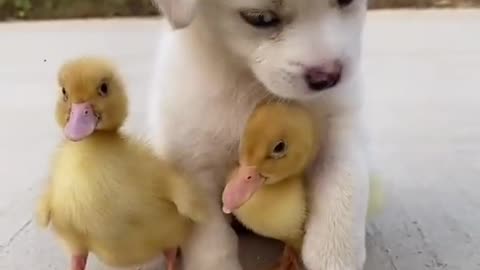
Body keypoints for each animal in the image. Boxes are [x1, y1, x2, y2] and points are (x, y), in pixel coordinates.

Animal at [150, 0, 372, 270]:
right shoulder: (193, 165)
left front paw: (334, 254)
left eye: (345, 1)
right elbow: (213, 242)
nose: (328, 77)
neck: (251, 86)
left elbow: (343, 187)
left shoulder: (339, 130)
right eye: (261, 18)